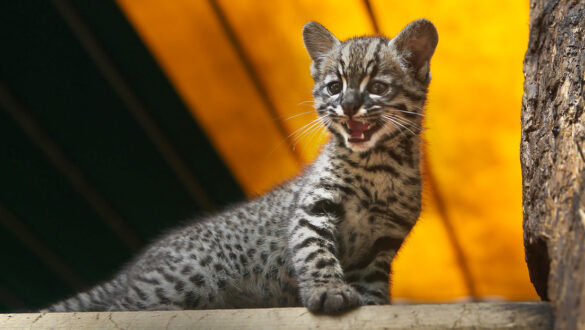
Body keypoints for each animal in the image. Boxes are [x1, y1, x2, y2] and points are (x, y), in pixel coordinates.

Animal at [45, 19, 436, 314]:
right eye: (334, 87)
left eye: (378, 87)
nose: (350, 106)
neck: (378, 165)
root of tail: (138, 265)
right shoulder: (313, 208)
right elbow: (315, 252)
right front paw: (328, 291)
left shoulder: (383, 241)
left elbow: (374, 283)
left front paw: (371, 305)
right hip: (183, 280)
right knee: (120, 307)